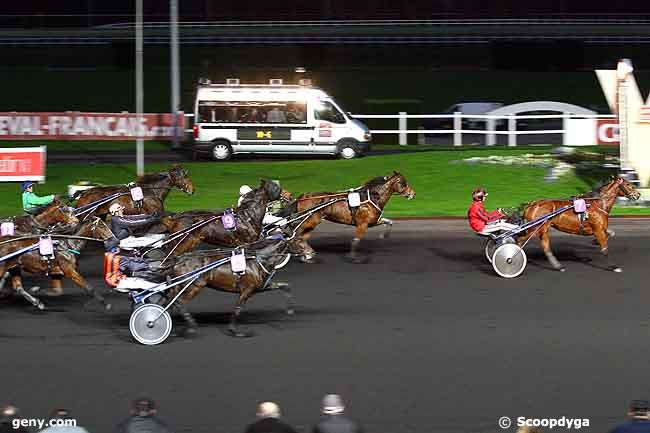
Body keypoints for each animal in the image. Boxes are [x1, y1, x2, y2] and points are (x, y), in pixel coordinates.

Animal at [165, 236, 294, 338]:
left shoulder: (260, 287)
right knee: (179, 302)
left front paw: (290, 310)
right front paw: (235, 331)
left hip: (181, 286)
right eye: (298, 239)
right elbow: (238, 308)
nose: (304, 255)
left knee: (171, 300)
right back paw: (190, 326)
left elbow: (285, 287)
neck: (258, 261)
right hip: (194, 286)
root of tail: (179, 260)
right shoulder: (246, 290)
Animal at [284, 172, 416, 264]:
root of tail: (304, 196)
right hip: (311, 220)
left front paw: (384, 235)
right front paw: (354, 258)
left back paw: (307, 254)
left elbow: (389, 222)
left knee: (302, 236)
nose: (413, 194)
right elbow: (355, 240)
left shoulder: (373, 222)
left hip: (312, 222)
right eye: (402, 182)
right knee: (297, 233)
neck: (371, 197)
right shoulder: (362, 224)